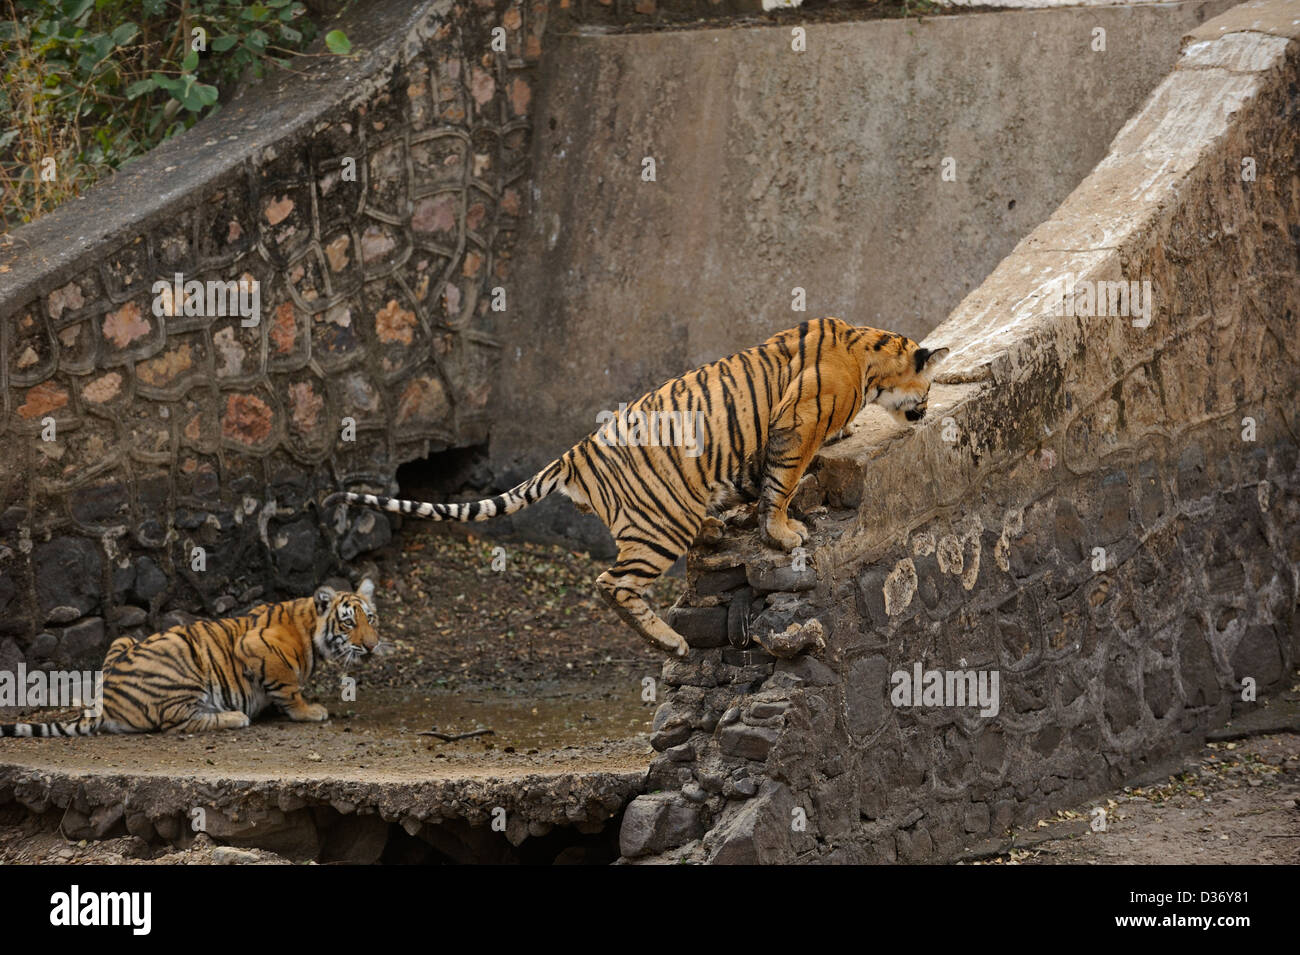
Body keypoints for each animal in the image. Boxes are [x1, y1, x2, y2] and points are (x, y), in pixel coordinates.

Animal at [0, 581, 379, 737]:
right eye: (349, 622)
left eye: (371, 619)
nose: (373, 646)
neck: (309, 627)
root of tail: (106, 704)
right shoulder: (256, 646)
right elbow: (289, 688)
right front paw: (309, 711)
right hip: (183, 668)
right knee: (177, 722)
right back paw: (235, 717)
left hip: (123, 639)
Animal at [325, 318, 947, 658]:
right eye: (932, 382)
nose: (926, 409)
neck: (868, 361)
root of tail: (575, 452)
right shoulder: (798, 422)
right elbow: (782, 484)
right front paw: (784, 533)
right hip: (657, 526)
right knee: (613, 582)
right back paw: (669, 642)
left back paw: (713, 529)